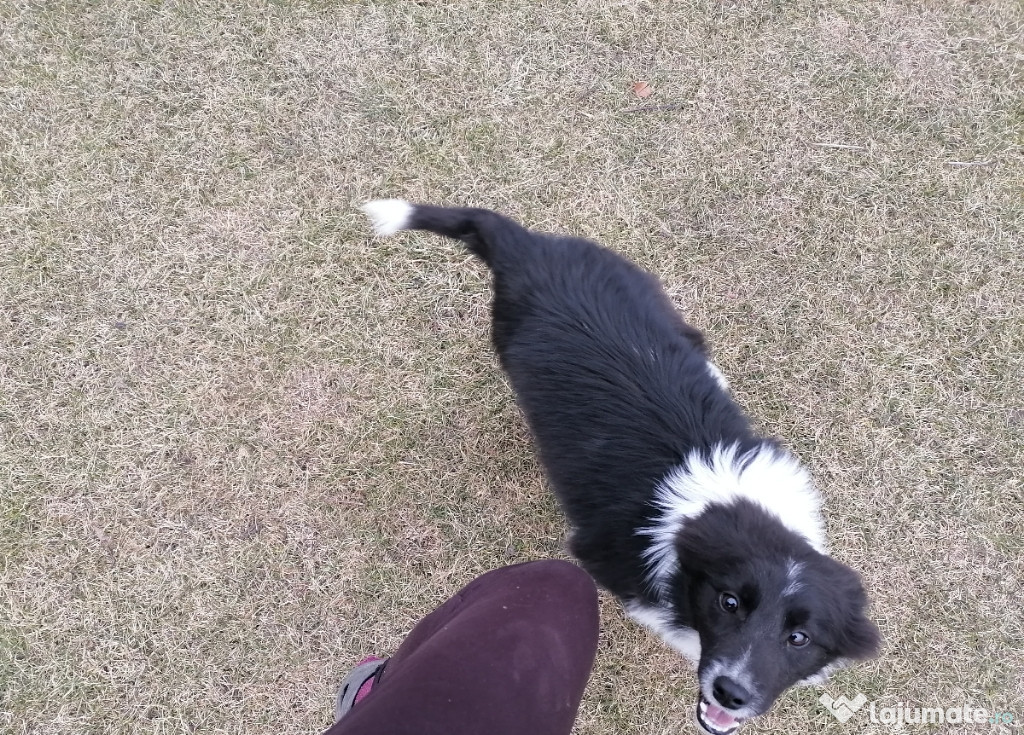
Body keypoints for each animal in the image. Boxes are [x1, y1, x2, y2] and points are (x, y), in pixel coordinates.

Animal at [362, 199, 880, 735]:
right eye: (729, 603)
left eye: (799, 638)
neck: (726, 509)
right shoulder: (609, 564)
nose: (730, 693)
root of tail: (530, 246)